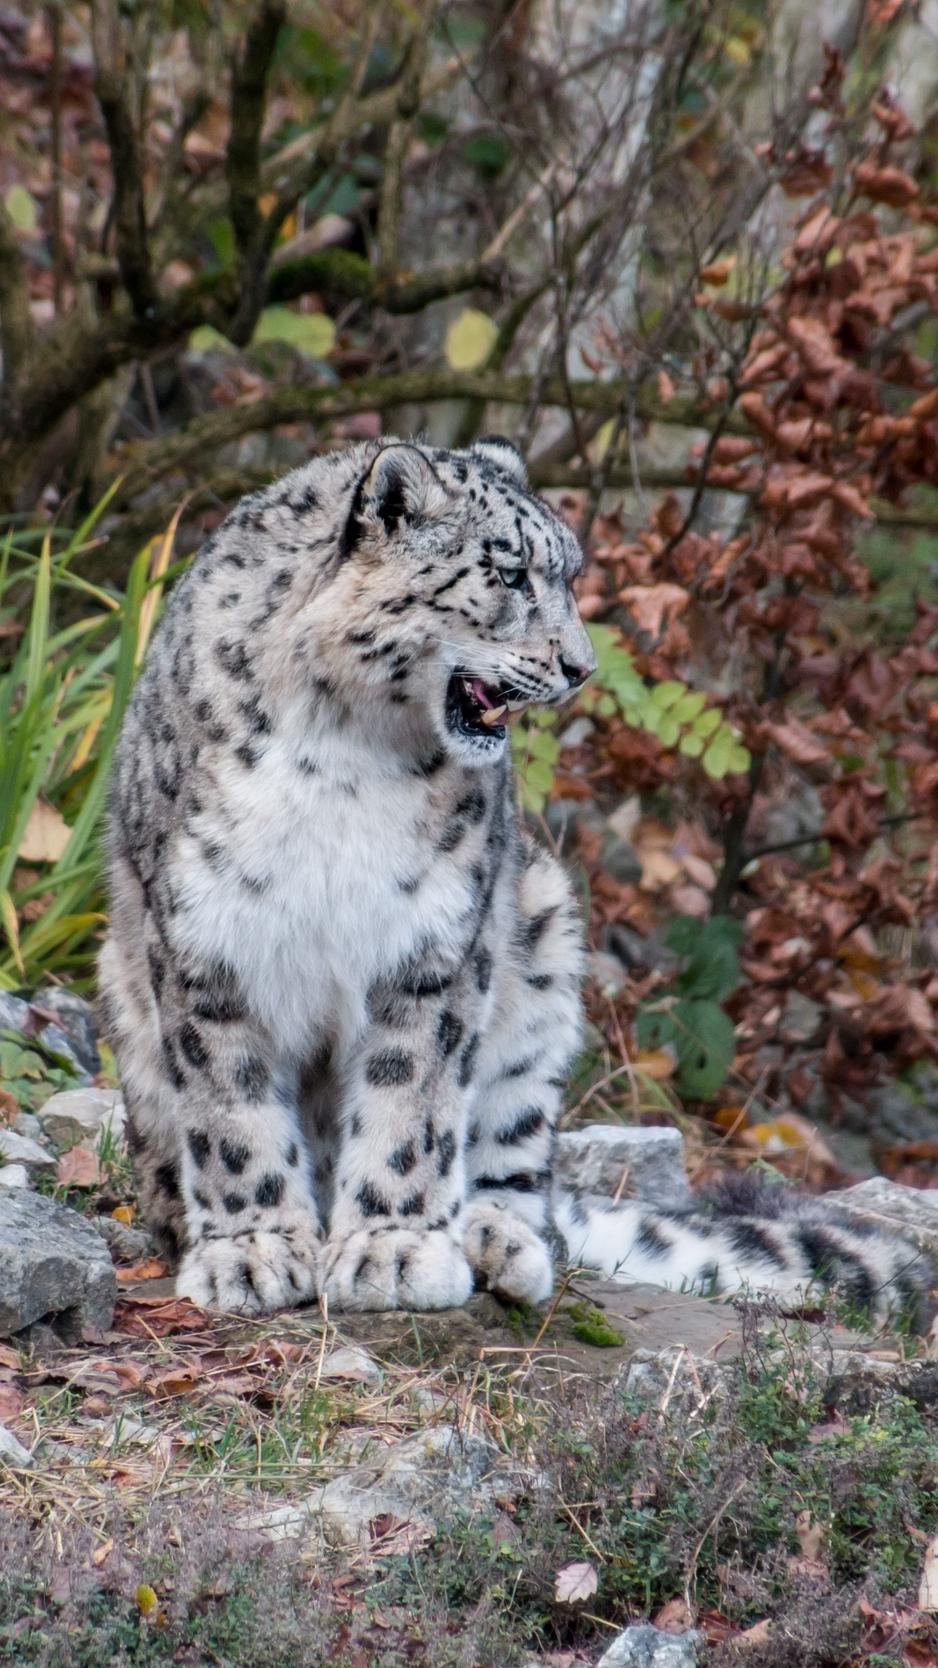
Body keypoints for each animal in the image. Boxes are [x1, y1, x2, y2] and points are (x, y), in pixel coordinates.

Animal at [98, 435, 930, 1324]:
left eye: (567, 575)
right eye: (509, 573)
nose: (582, 666)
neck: (344, 748)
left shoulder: (434, 938)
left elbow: (412, 1100)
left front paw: (395, 1250)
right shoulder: (207, 934)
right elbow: (231, 1106)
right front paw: (252, 1251)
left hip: (543, 952)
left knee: (522, 1167)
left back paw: (497, 1242)